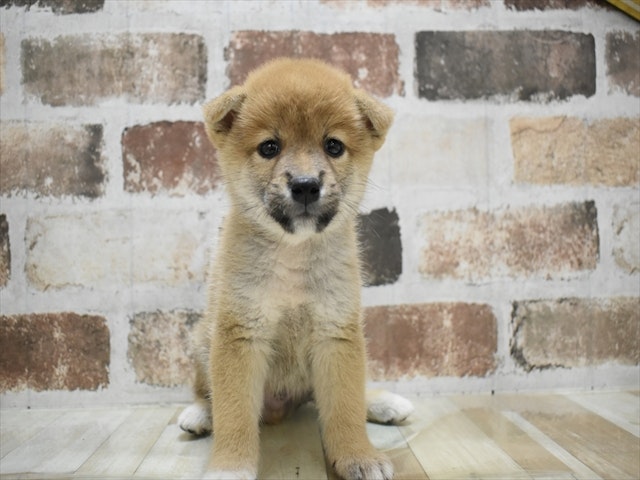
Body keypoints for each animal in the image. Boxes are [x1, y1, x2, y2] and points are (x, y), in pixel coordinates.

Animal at [178, 58, 412, 478]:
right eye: (269, 147)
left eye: (333, 146)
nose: (305, 185)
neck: (293, 255)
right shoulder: (240, 335)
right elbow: (234, 413)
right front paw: (229, 467)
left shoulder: (336, 334)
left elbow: (345, 408)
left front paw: (359, 457)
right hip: (204, 338)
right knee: (207, 391)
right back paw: (200, 414)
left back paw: (384, 402)